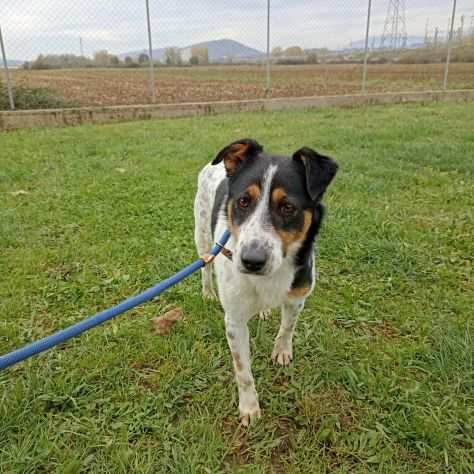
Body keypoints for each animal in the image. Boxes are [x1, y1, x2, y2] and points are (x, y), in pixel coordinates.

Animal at [194, 139, 338, 424]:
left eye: (288, 207)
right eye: (243, 201)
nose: (251, 261)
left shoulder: (297, 296)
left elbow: (287, 328)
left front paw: (281, 351)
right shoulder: (234, 321)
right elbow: (243, 372)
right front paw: (249, 408)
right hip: (202, 234)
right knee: (205, 264)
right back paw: (207, 292)